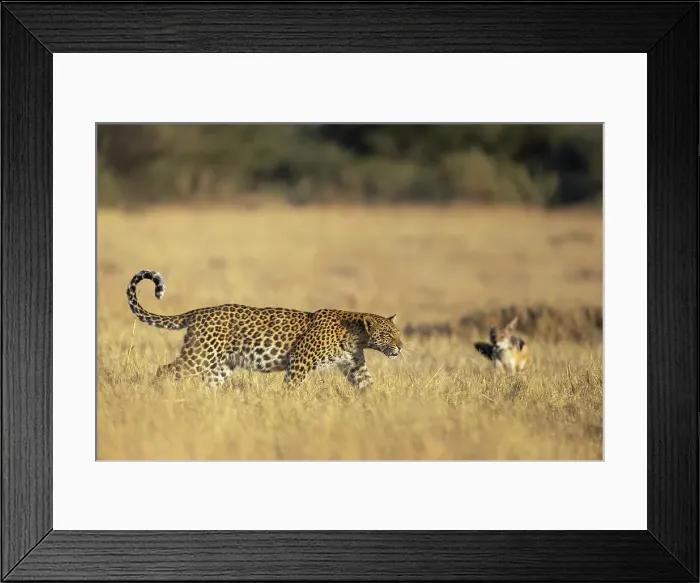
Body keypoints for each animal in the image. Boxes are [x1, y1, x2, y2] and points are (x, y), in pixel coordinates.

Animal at [126, 270, 404, 389]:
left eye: (398, 333)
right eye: (388, 334)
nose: (401, 347)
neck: (357, 336)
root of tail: (198, 312)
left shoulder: (355, 365)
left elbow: (367, 385)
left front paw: (379, 407)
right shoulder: (300, 360)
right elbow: (291, 387)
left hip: (221, 364)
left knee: (208, 382)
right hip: (200, 355)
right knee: (165, 370)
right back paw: (159, 395)